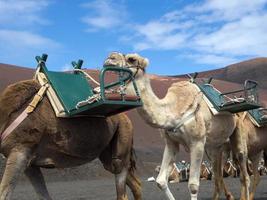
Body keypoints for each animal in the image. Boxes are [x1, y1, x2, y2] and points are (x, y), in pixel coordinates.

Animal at [0, 79, 142, 200]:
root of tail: (126, 118)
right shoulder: (30, 163)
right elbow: (43, 195)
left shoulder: (21, 151)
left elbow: (4, 193)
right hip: (108, 152)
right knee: (133, 182)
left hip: (123, 134)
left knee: (121, 181)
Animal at [103, 52, 252, 200]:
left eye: (131, 59)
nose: (110, 58)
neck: (173, 109)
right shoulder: (171, 143)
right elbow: (161, 181)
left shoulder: (197, 142)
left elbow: (193, 185)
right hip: (215, 146)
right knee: (218, 174)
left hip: (237, 132)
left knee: (243, 170)